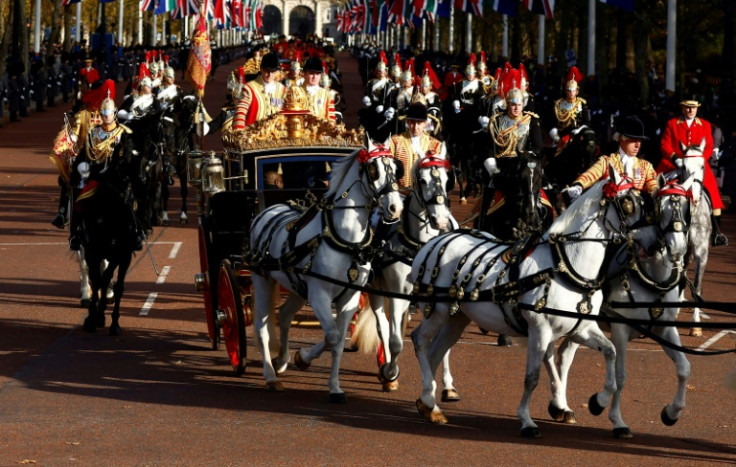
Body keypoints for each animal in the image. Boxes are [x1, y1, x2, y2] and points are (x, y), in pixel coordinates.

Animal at [247, 143, 402, 402]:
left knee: (285, 316)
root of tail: (267, 210)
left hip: (297, 287)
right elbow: (332, 336)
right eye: (374, 170)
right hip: (262, 279)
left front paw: (334, 386)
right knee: (261, 326)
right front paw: (305, 358)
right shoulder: (320, 294)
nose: (395, 207)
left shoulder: (348, 297)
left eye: (395, 168)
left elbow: (337, 341)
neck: (345, 239)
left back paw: (282, 361)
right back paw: (270, 376)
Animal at [412, 168, 648, 438]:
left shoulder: (581, 329)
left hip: (457, 318)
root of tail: (436, 241)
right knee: (420, 341)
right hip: (437, 312)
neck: (566, 267)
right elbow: (532, 377)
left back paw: (429, 404)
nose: (653, 240)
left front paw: (598, 401)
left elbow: (610, 352)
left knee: (435, 351)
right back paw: (429, 398)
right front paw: (526, 420)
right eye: (628, 203)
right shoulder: (539, 330)